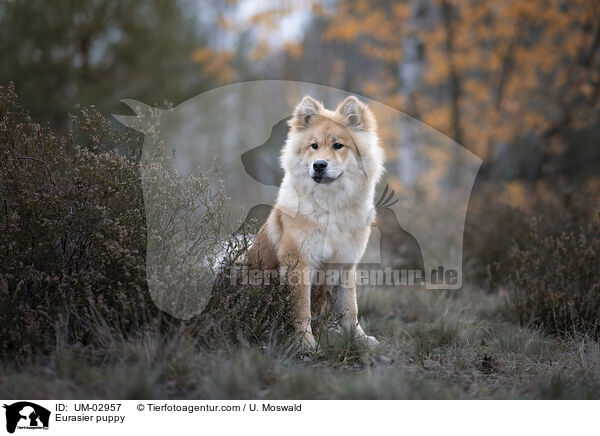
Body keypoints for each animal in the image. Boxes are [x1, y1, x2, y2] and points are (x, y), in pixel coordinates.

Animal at [247, 95, 384, 350]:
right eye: (314, 146)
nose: (319, 165)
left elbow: (350, 310)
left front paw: (359, 340)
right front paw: (306, 344)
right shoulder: (299, 264)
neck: (331, 207)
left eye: (338, 145)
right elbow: (302, 311)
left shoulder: (345, 265)